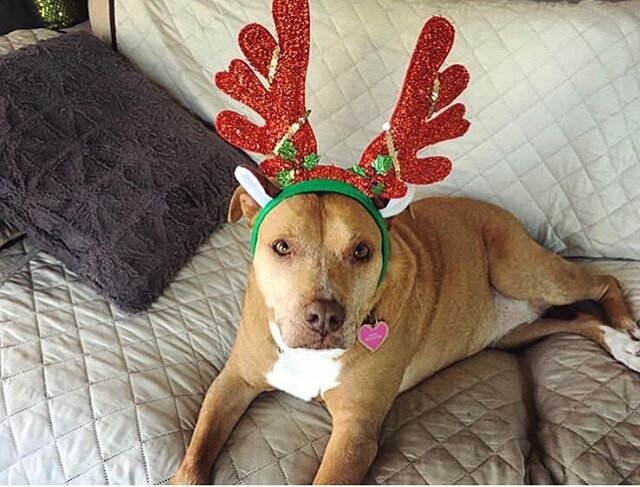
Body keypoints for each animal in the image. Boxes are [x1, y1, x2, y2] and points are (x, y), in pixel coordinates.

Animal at [173, 173, 640, 484]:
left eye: (362, 251)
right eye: (281, 247)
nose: (324, 318)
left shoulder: (355, 431)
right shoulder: (232, 383)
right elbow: (193, 458)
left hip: (524, 271)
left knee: (604, 281)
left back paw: (626, 332)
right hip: (515, 331)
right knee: (580, 321)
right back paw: (618, 341)